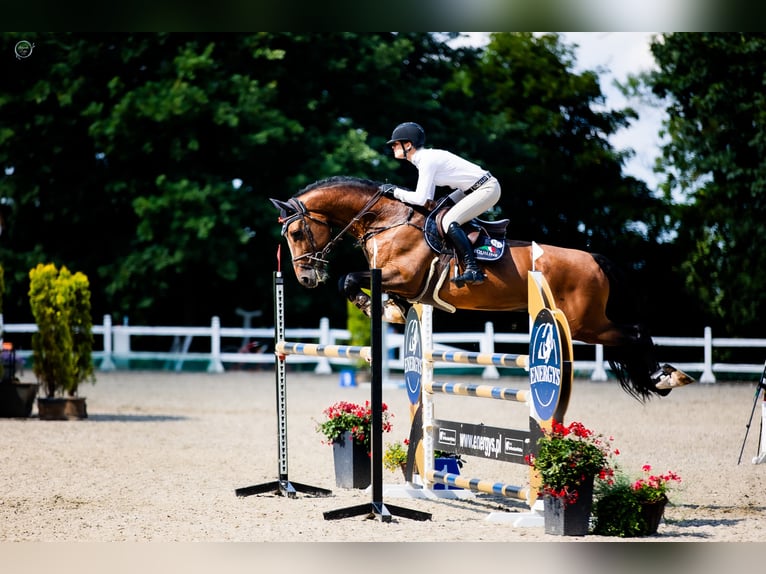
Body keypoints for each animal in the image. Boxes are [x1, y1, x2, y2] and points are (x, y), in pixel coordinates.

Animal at [272, 178, 696, 402]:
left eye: (296, 233)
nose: (307, 278)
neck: (386, 220)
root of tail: (594, 259)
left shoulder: (403, 276)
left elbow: (348, 280)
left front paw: (377, 305)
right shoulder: (402, 284)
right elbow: (377, 294)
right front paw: (391, 309)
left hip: (585, 324)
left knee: (636, 332)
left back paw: (665, 376)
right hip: (587, 323)